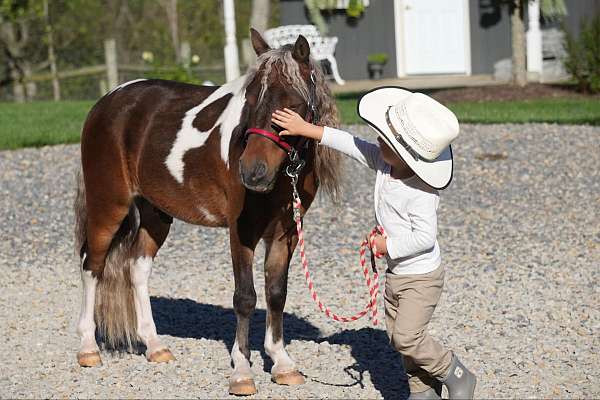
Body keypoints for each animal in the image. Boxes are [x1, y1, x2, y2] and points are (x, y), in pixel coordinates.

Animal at [72, 29, 340, 396]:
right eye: (249, 99)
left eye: (293, 105)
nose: (252, 172)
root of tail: (106, 102)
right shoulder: (242, 231)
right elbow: (245, 297)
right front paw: (242, 371)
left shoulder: (285, 233)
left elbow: (275, 294)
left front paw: (282, 363)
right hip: (108, 206)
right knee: (92, 265)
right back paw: (88, 348)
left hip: (155, 214)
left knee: (137, 269)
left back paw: (155, 346)